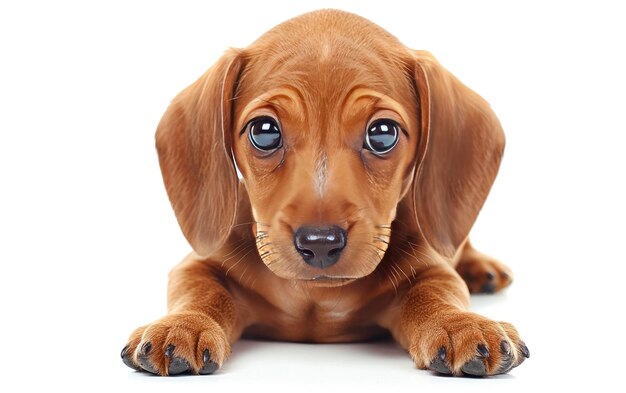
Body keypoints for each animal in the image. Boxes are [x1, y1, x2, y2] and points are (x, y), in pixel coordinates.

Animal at [120, 9, 528, 376]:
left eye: (382, 134)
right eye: (264, 131)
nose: (319, 243)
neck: (315, 296)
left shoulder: (432, 269)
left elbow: (436, 294)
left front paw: (460, 323)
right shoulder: (197, 265)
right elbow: (202, 292)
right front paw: (184, 324)